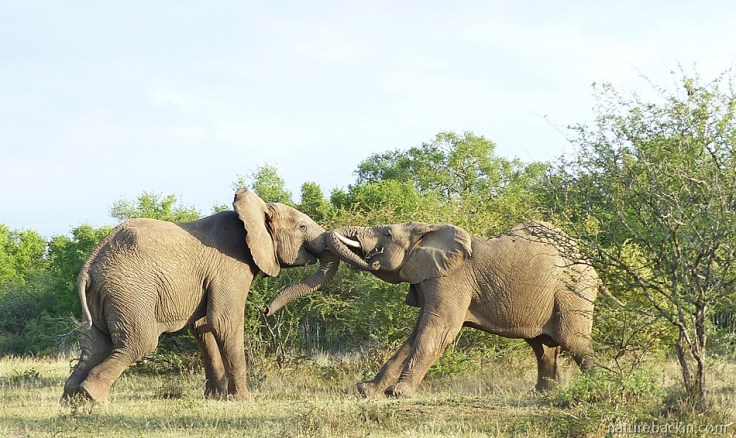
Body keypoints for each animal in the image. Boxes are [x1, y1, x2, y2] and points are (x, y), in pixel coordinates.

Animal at [61, 190, 338, 405]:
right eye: (302, 226)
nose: (266, 311)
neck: (253, 213)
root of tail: (90, 263)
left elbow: (203, 326)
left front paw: (215, 398)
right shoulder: (231, 266)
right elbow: (224, 322)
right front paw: (244, 400)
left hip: (105, 294)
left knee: (96, 344)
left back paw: (71, 400)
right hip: (130, 291)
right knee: (140, 342)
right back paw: (92, 397)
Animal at [267, 220, 600, 398]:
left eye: (387, 233)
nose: (266, 311)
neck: (426, 229)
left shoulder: (450, 279)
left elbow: (437, 330)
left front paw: (398, 394)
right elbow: (416, 333)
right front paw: (369, 391)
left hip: (574, 293)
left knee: (574, 341)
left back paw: (596, 387)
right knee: (542, 346)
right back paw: (542, 394)